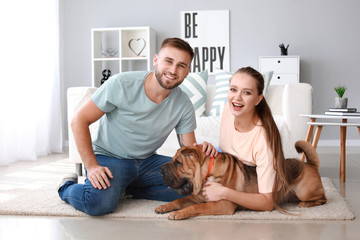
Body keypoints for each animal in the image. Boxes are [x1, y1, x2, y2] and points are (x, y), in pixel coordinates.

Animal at [155, 140, 326, 220]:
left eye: (178, 163)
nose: (161, 169)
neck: (207, 173)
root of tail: (310, 164)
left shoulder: (223, 204)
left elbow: (195, 207)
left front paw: (178, 213)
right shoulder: (195, 197)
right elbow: (179, 201)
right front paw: (164, 207)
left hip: (305, 191)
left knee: (323, 198)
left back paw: (307, 203)